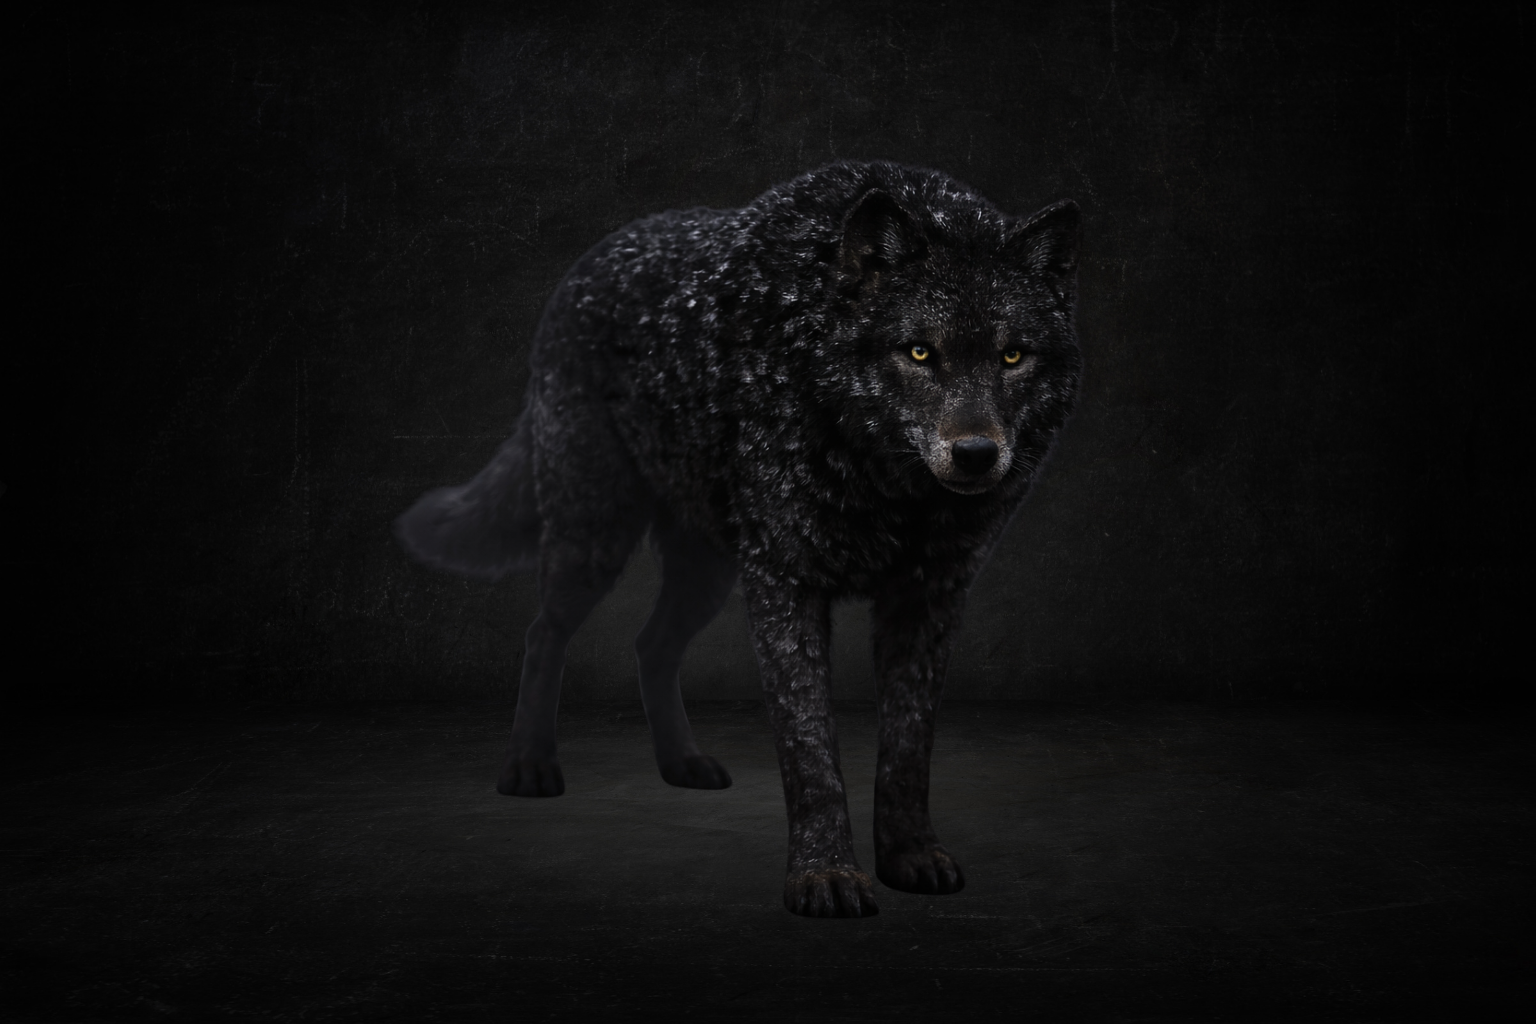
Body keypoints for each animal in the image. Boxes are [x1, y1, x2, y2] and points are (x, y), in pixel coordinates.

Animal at [396, 160, 1082, 917]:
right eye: (919, 352)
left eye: (1012, 355)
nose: (975, 455)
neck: (887, 488)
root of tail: (582, 270)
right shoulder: (785, 583)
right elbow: (810, 750)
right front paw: (825, 876)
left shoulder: (928, 598)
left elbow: (907, 746)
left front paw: (909, 856)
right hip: (597, 537)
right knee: (544, 631)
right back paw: (529, 767)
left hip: (707, 570)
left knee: (650, 645)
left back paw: (682, 765)